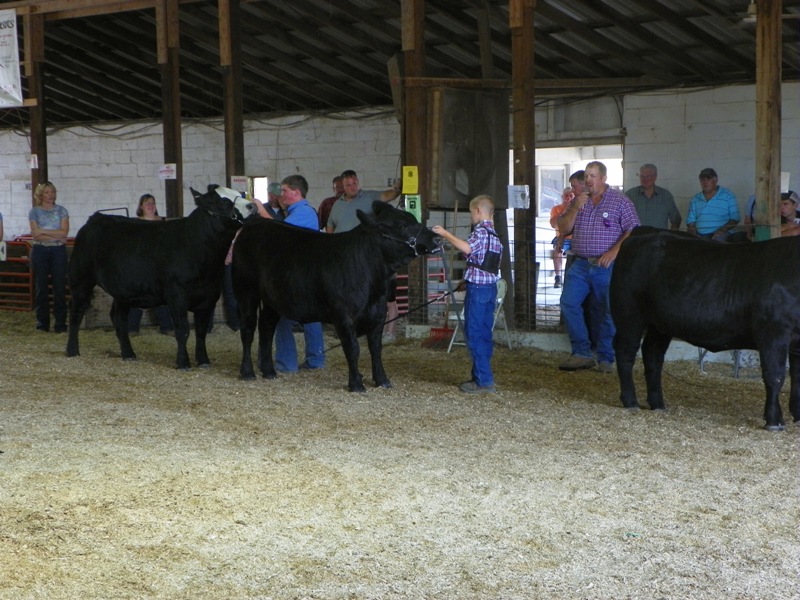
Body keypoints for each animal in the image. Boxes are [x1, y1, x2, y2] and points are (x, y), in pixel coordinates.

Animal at [66, 185, 256, 370]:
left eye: (238, 193)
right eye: (222, 201)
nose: (252, 206)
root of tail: (97, 218)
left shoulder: (209, 296)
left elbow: (201, 331)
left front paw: (203, 361)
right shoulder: (176, 295)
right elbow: (182, 329)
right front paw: (183, 363)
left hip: (123, 291)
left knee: (118, 318)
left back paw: (128, 354)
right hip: (81, 279)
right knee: (76, 312)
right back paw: (72, 350)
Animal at [232, 201, 442, 392]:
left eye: (414, 219)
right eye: (402, 226)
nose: (438, 238)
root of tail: (255, 224)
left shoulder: (378, 314)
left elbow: (376, 349)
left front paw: (382, 380)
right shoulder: (343, 316)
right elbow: (353, 349)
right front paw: (356, 384)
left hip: (272, 300)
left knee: (266, 327)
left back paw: (269, 371)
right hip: (246, 290)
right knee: (248, 329)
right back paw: (248, 372)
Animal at [610, 226, 800, 431]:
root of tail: (643, 231)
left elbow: (796, 378)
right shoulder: (773, 331)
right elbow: (775, 376)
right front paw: (774, 421)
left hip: (659, 325)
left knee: (652, 355)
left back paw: (657, 404)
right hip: (629, 314)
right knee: (626, 352)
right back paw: (630, 401)